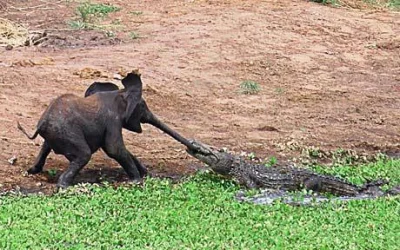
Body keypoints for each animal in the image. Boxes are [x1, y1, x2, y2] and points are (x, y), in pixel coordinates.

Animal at [17, 71, 147, 188]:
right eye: (143, 106)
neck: (119, 93)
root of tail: (41, 123)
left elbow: (115, 149)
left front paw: (144, 174)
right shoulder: (112, 120)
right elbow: (114, 149)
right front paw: (137, 181)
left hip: (56, 133)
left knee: (47, 147)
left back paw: (32, 171)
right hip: (67, 133)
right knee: (84, 154)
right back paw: (65, 187)